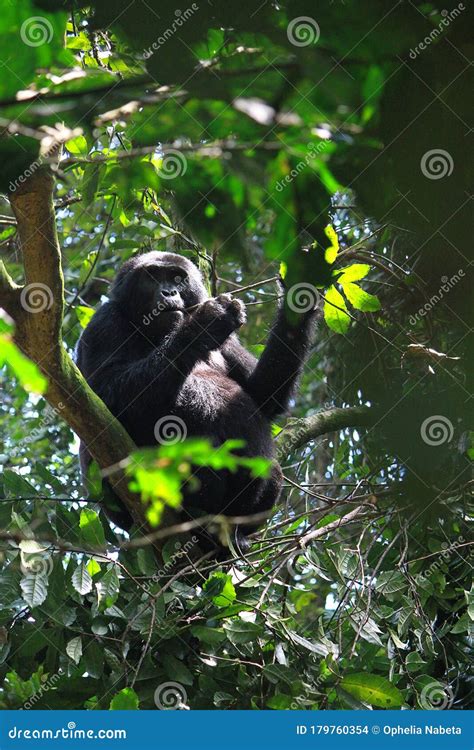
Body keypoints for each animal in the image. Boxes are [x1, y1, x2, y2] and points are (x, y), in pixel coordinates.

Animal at [75, 250, 318, 548]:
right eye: (152, 276)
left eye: (178, 278)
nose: (168, 292)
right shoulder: (103, 323)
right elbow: (103, 404)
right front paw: (204, 324)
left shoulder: (230, 344)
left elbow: (263, 395)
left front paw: (300, 293)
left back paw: (235, 530)